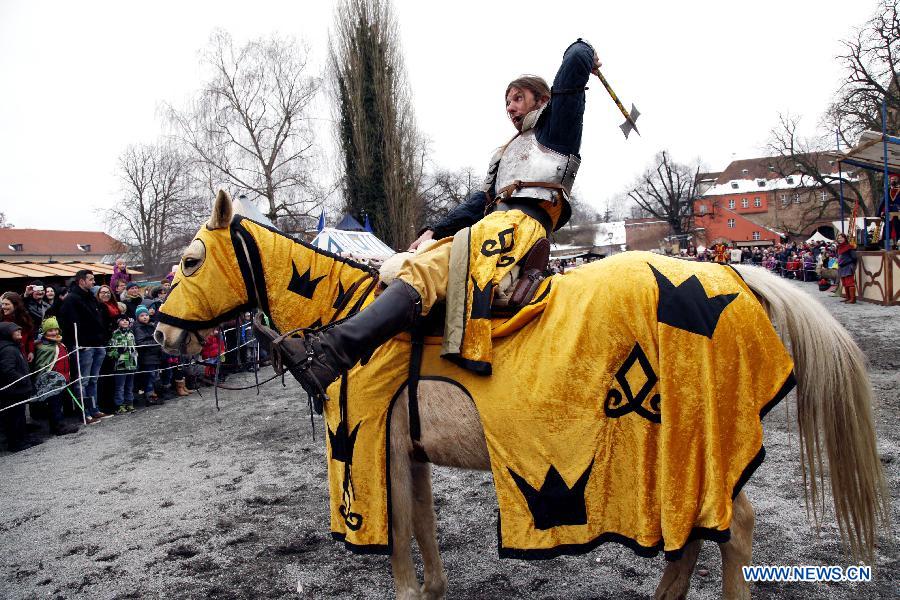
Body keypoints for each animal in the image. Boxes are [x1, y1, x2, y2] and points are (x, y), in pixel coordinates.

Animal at [156, 193, 884, 600]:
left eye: (190, 261)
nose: (162, 333)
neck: (350, 317)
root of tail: (732, 277)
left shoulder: (374, 449)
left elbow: (400, 547)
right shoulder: (409, 451)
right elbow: (425, 531)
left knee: (735, 533)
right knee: (694, 534)